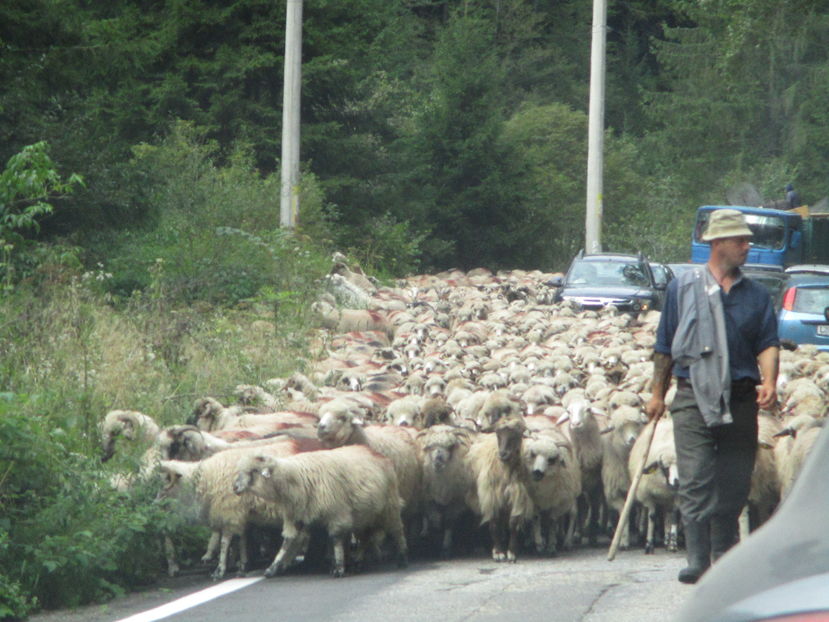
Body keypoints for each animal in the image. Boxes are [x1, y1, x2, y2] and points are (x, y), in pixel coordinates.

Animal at [231, 446, 406, 576]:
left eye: (253, 471)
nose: (235, 487)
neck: (294, 479)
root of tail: (377, 453)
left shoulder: (337, 514)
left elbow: (335, 539)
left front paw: (339, 568)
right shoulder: (295, 517)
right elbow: (287, 542)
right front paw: (272, 568)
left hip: (389, 507)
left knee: (397, 530)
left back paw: (402, 557)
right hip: (365, 514)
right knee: (366, 538)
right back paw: (358, 562)